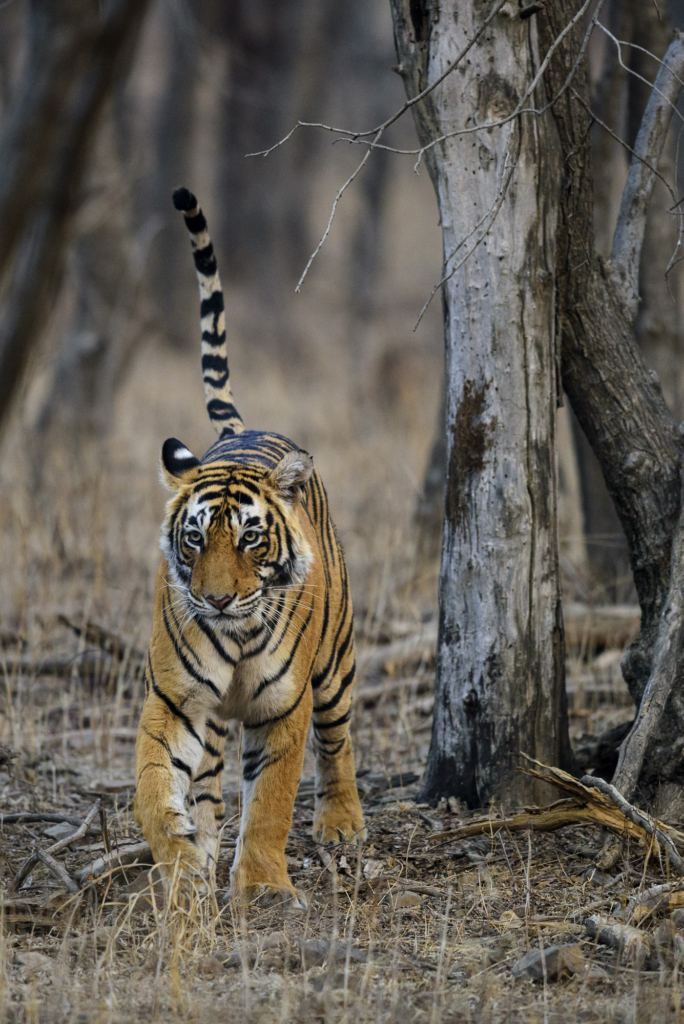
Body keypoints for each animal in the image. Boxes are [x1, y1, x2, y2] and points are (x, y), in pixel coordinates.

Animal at [134, 186, 366, 905]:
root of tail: (243, 429)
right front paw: (183, 866)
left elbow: (272, 800)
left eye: (251, 540)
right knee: (209, 779)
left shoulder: (284, 707)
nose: (215, 600)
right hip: (212, 717)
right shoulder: (176, 701)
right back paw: (206, 841)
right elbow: (154, 792)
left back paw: (343, 823)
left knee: (338, 743)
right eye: (194, 539)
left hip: (336, 664)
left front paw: (262, 885)